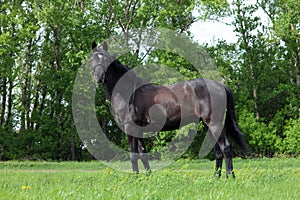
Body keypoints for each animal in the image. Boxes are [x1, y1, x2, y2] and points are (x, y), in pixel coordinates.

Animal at [91, 41, 248, 177]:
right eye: (92, 59)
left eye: (105, 58)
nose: (98, 77)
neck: (128, 91)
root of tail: (221, 86)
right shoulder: (139, 129)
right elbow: (142, 154)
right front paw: (147, 177)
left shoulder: (130, 128)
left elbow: (133, 155)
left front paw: (135, 177)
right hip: (209, 125)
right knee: (218, 152)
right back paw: (216, 177)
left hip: (214, 123)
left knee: (226, 148)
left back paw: (229, 177)